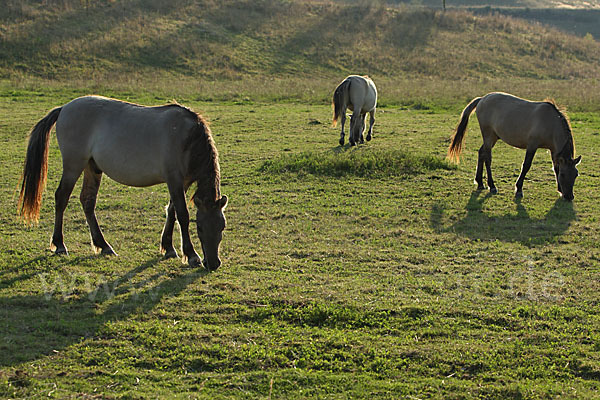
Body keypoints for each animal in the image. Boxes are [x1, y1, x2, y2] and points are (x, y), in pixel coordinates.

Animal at [18, 95, 229, 270]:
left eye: (222, 227)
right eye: (199, 227)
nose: (213, 263)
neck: (187, 137)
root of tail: (64, 108)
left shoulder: (182, 182)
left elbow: (172, 211)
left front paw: (168, 248)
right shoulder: (174, 180)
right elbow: (182, 215)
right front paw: (191, 255)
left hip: (92, 168)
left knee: (87, 201)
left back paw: (103, 245)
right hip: (73, 165)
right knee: (61, 197)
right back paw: (60, 244)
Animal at [446, 92, 580, 202]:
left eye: (576, 174)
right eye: (564, 175)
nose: (569, 196)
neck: (550, 122)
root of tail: (482, 99)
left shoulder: (553, 150)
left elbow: (555, 167)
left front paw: (560, 190)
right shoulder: (532, 146)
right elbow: (526, 166)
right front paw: (519, 189)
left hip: (493, 137)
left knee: (481, 153)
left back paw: (479, 183)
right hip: (488, 136)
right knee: (487, 158)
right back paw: (492, 186)